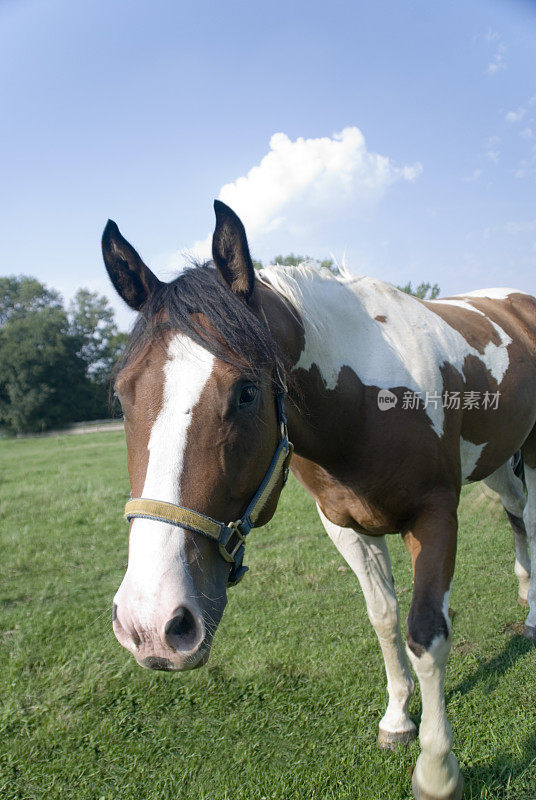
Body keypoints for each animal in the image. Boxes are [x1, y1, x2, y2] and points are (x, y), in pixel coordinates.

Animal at [101, 202, 536, 800]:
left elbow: (426, 632)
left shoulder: (435, 515)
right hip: (495, 459)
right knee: (517, 514)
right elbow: (383, 617)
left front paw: (436, 769)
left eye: (247, 392)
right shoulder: (344, 526)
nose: (152, 623)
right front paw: (398, 719)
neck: (365, 402)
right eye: (122, 394)